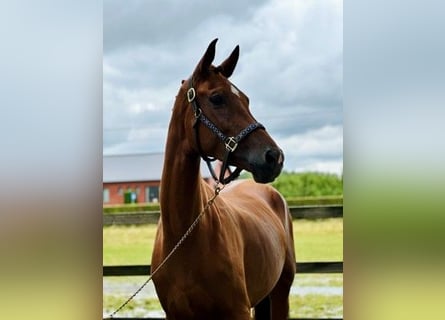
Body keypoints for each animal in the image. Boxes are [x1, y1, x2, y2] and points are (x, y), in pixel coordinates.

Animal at [152, 38, 294, 318]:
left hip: (281, 292)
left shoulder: (238, 311)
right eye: (217, 98)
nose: (274, 157)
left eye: (247, 100)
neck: (184, 236)